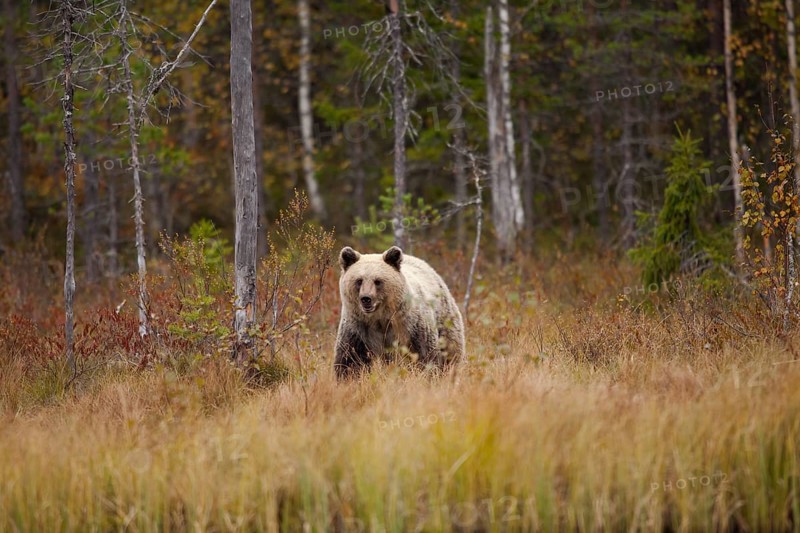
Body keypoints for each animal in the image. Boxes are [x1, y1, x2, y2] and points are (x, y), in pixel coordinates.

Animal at [334, 245, 465, 378]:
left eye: (378, 281)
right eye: (359, 281)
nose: (366, 299)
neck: (380, 319)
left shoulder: (411, 327)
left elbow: (424, 355)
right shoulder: (358, 329)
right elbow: (351, 359)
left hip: (444, 318)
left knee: (451, 351)